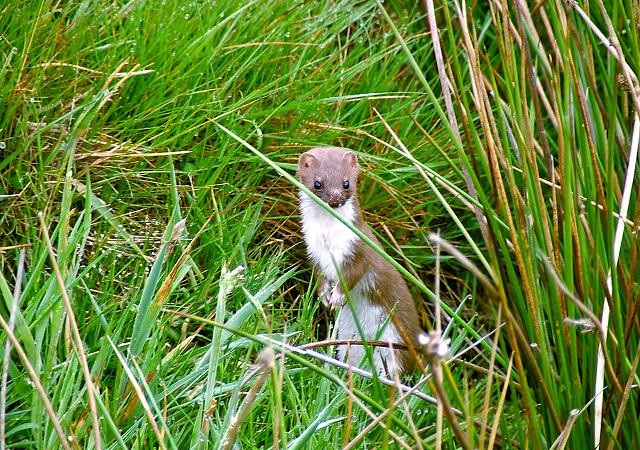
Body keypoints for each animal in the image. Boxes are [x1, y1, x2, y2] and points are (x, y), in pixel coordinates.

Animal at [298, 147, 422, 372]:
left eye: (346, 183)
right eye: (318, 183)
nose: (335, 199)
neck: (328, 240)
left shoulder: (359, 249)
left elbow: (353, 275)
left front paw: (337, 298)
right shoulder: (313, 251)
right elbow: (319, 276)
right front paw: (324, 296)